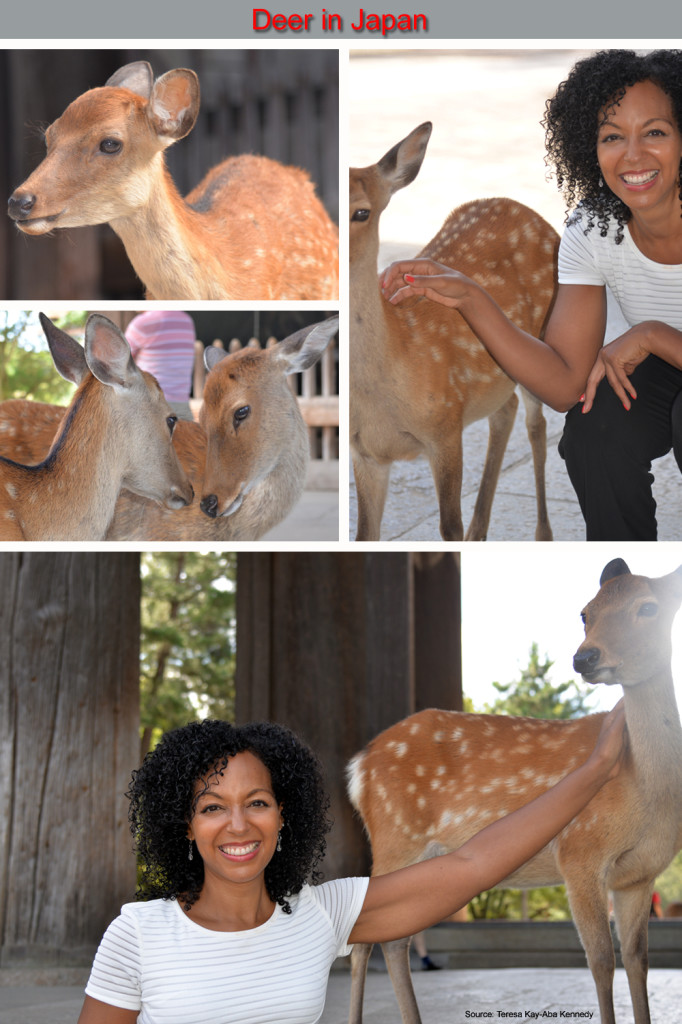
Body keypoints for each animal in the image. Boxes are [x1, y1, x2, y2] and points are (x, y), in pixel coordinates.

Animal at [346, 557, 679, 1024]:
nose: (585, 656)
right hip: (395, 840)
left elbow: (637, 961)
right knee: (364, 939)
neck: (649, 793)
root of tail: (358, 769)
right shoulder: (579, 853)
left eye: (649, 608)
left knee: (394, 939)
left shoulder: (637, 876)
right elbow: (600, 961)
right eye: (585, 613)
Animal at [348, 121, 557, 544]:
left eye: (362, 211)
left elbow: (449, 527)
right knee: (506, 409)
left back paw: (542, 534)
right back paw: (481, 531)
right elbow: (364, 535)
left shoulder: (445, 426)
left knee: (536, 425)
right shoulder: (364, 453)